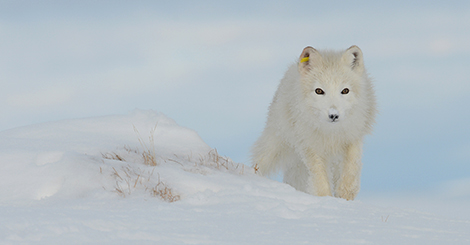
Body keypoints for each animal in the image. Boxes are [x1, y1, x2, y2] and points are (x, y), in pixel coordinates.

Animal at [252, 45, 376, 200]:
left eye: (345, 90)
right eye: (319, 91)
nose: (333, 115)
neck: (331, 134)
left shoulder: (352, 138)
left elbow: (351, 168)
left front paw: (345, 196)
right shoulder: (310, 146)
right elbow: (320, 178)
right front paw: (325, 199)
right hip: (274, 146)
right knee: (259, 162)